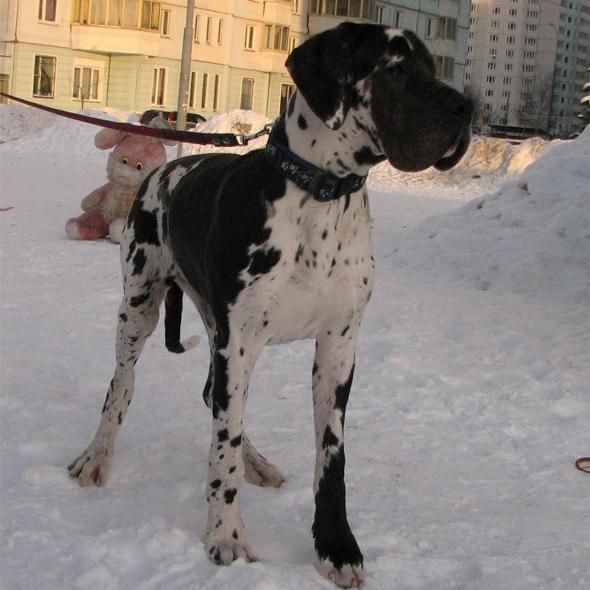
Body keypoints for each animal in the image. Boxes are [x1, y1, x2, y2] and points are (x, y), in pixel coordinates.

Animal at [68, 23, 472, 588]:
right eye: (395, 70)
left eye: (434, 67)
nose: (466, 108)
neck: (320, 195)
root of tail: (163, 169)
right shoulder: (238, 342)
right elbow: (222, 446)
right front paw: (225, 535)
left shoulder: (337, 348)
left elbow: (330, 458)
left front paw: (336, 545)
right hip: (140, 303)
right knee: (123, 387)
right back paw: (97, 455)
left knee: (214, 399)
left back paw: (255, 462)